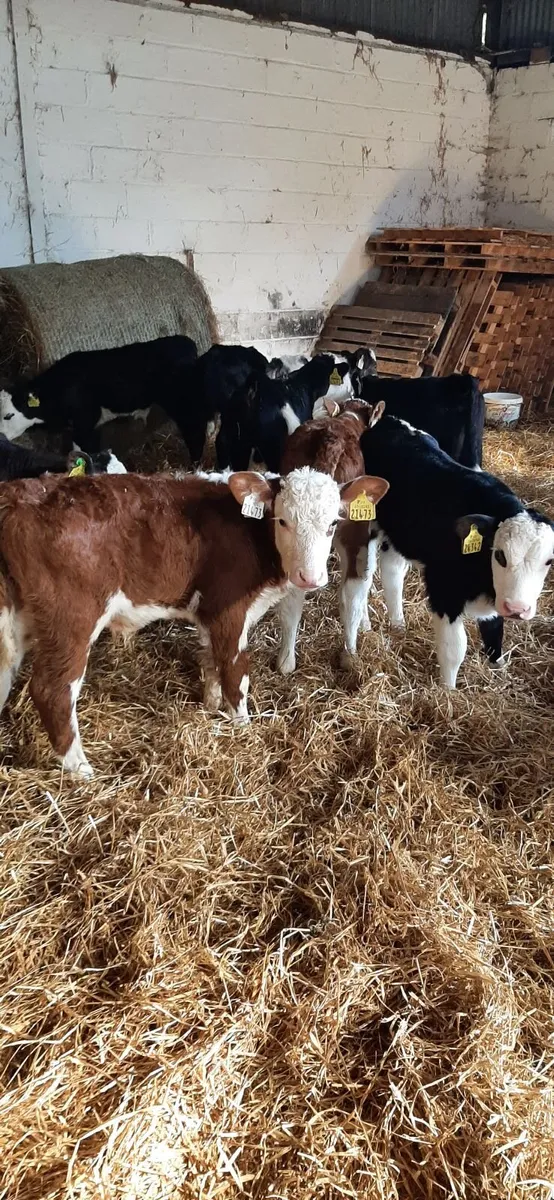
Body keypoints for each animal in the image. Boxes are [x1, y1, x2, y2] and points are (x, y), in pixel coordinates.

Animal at [0, 466, 379, 776]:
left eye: (333, 524)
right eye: (282, 521)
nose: (309, 578)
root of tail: (18, 497)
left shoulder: (208, 613)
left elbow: (211, 662)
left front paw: (210, 705)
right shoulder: (228, 609)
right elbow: (235, 673)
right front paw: (242, 728)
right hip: (72, 618)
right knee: (53, 691)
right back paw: (81, 770)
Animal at [360, 414, 554, 687]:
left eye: (549, 561)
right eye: (500, 555)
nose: (518, 609)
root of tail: (388, 420)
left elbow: (494, 630)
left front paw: (498, 667)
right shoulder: (444, 590)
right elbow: (454, 649)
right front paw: (447, 690)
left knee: (392, 572)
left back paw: (398, 624)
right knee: (363, 577)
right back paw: (364, 625)